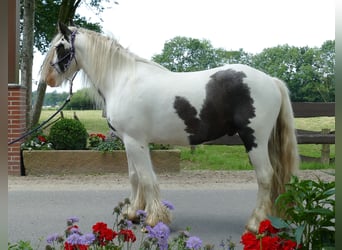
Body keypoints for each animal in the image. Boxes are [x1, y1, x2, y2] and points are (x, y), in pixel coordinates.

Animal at [40, 22, 298, 233]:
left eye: (60, 47)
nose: (48, 79)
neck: (122, 79)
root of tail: (271, 81)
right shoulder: (129, 141)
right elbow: (134, 177)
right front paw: (133, 213)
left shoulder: (136, 141)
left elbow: (146, 178)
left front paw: (154, 219)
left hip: (254, 140)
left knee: (265, 176)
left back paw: (256, 223)